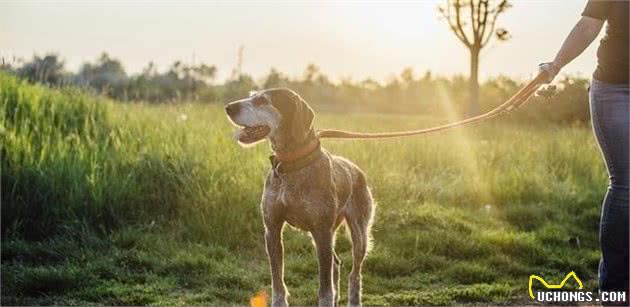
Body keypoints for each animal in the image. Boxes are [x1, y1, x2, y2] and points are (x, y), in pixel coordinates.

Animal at [226, 88, 376, 306]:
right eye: (252, 94)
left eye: (262, 100)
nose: (228, 107)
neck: (291, 164)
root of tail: (356, 169)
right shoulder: (272, 230)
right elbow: (277, 281)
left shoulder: (322, 231)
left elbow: (324, 287)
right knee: (336, 263)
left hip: (358, 233)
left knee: (354, 273)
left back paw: (353, 300)